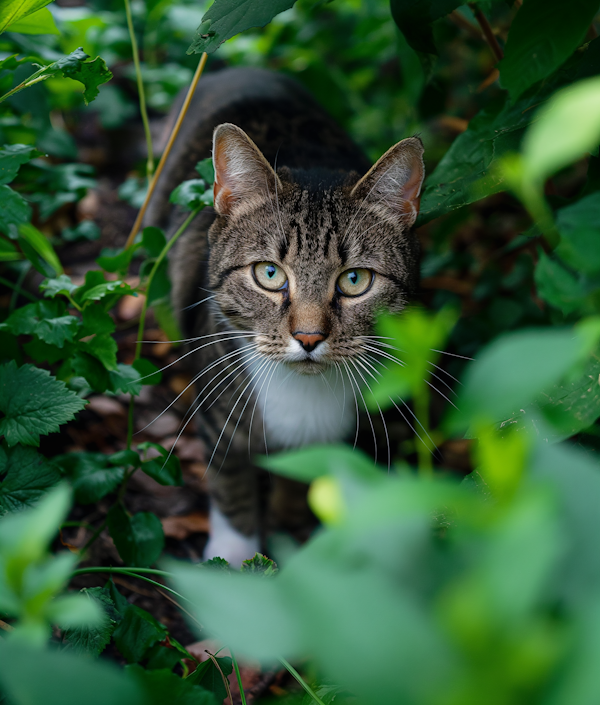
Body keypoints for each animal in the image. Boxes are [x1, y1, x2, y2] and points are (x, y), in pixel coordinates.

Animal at [147, 64, 424, 560]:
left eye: (355, 280)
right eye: (270, 274)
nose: (309, 337)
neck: (302, 397)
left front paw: (289, 523)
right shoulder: (219, 419)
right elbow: (231, 484)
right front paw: (231, 557)